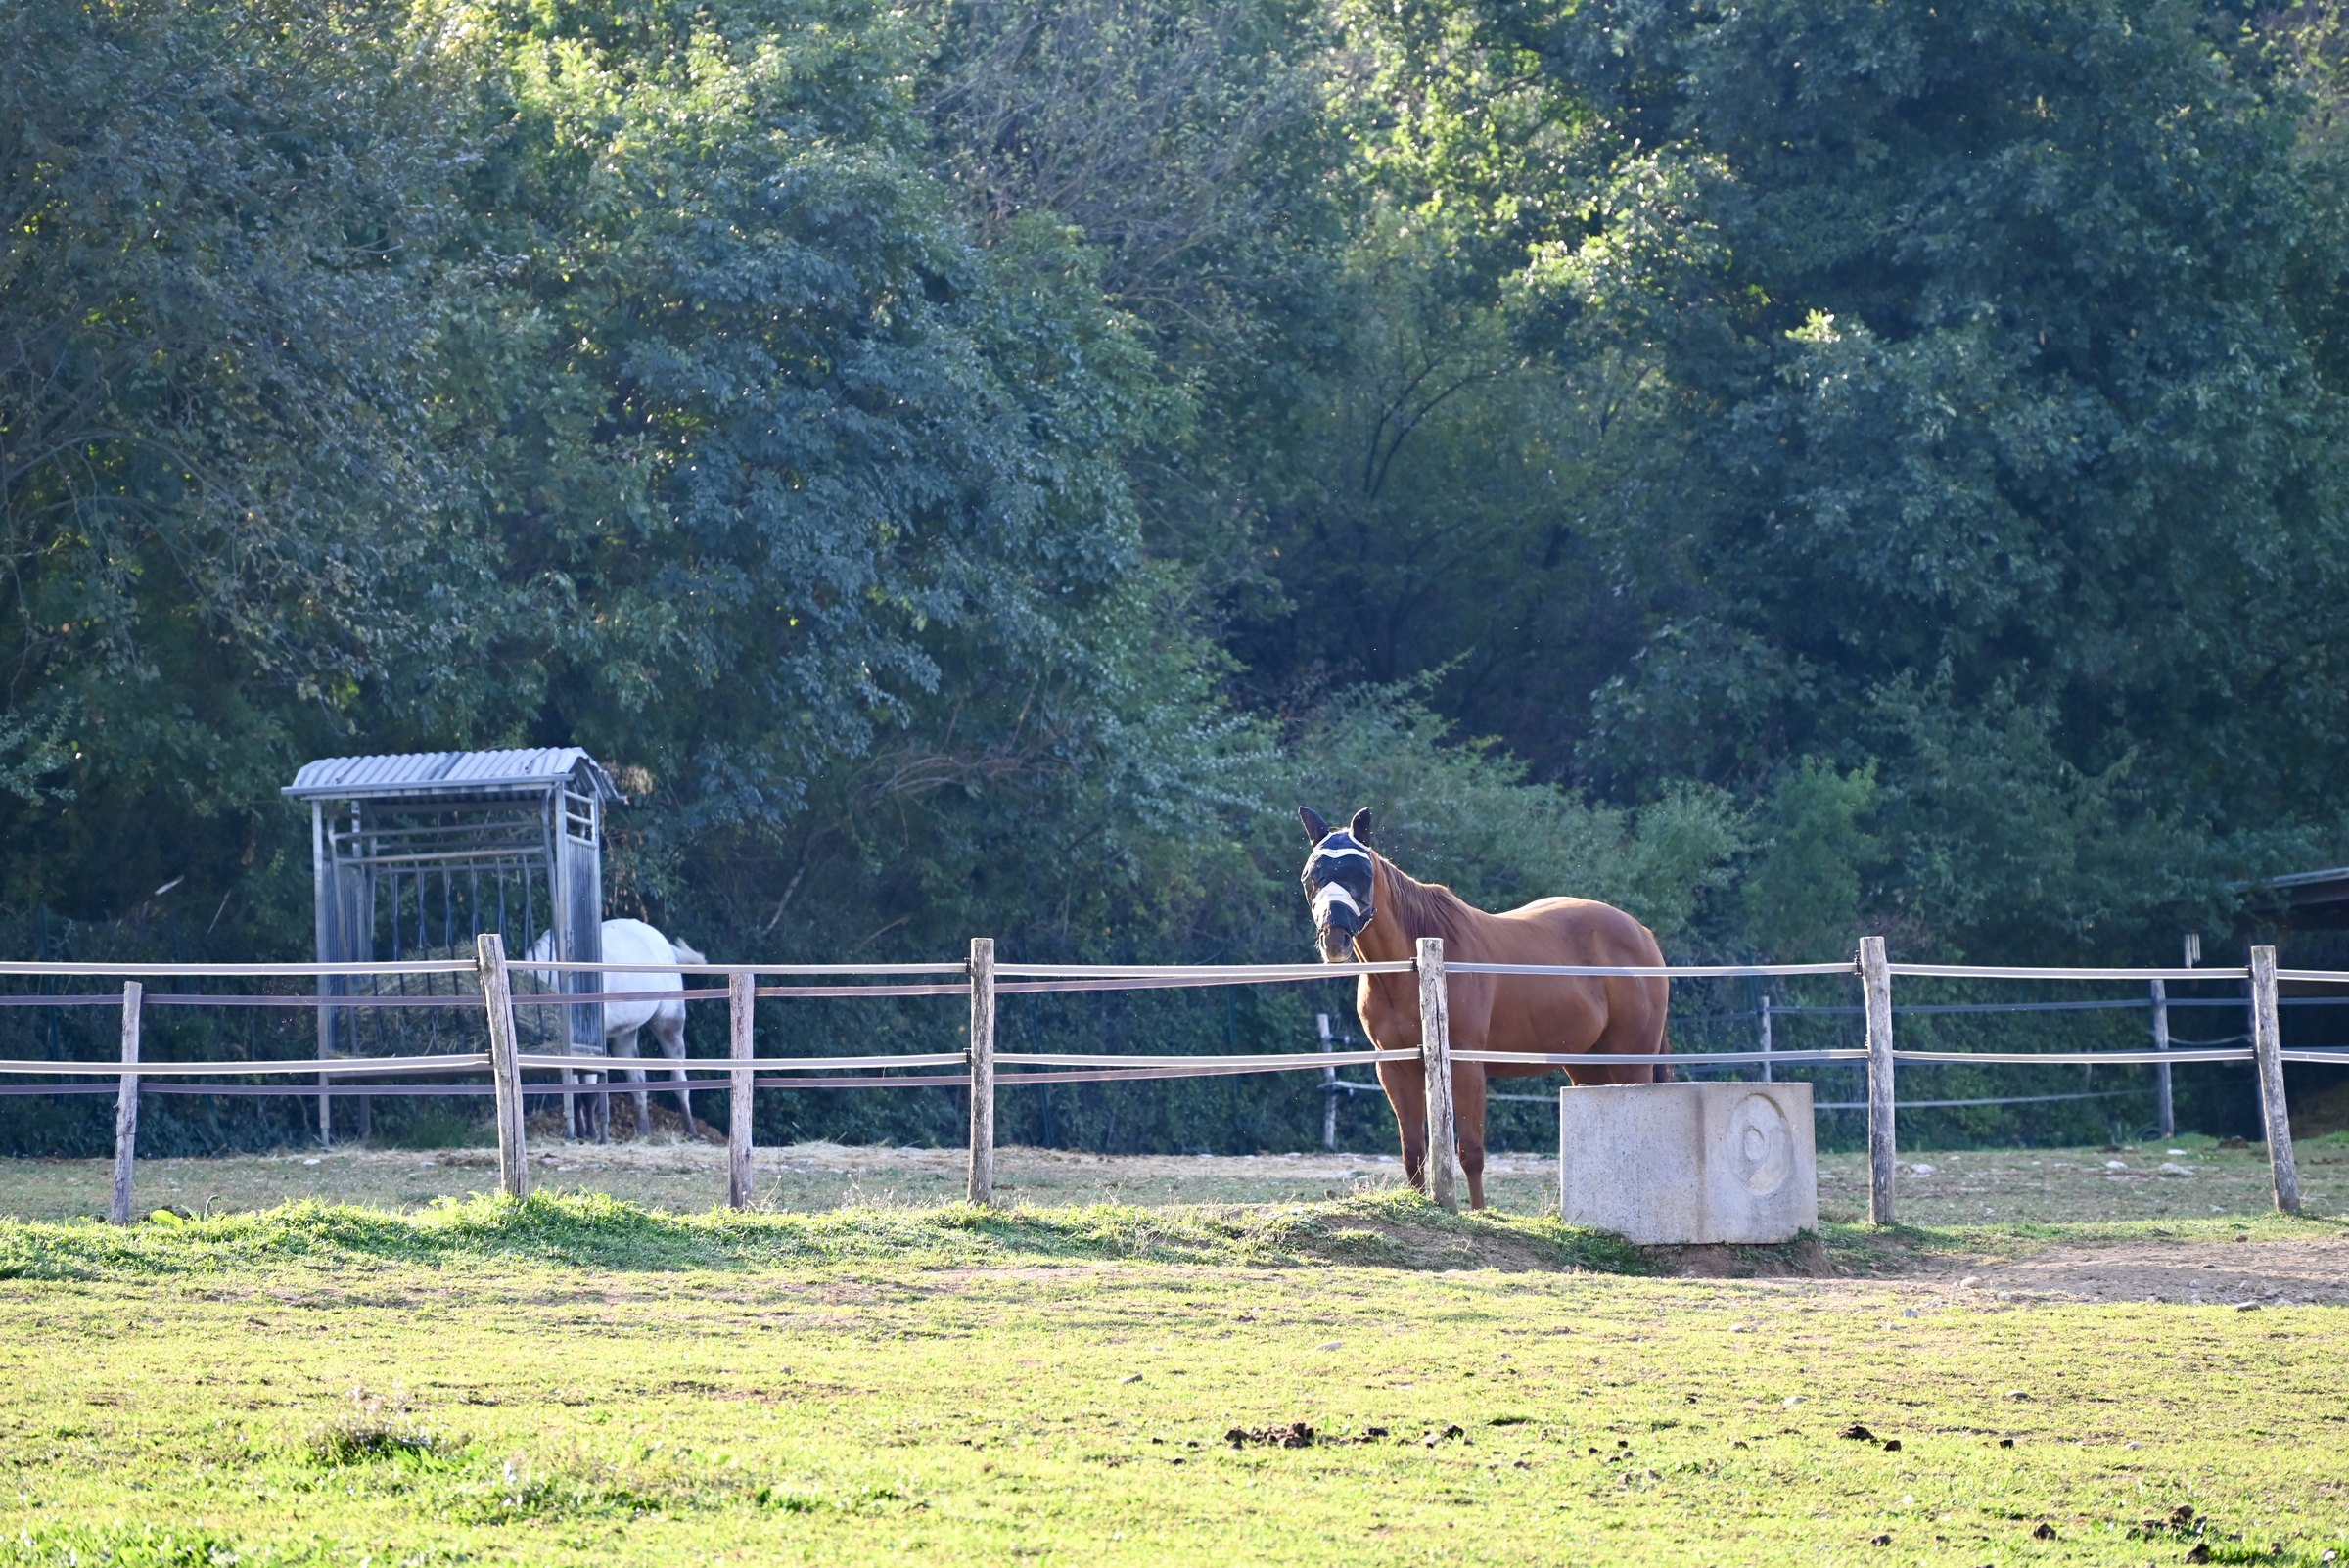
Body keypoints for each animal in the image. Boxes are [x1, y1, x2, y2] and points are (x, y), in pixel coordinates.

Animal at [527, 918, 707, 1141]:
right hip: (626, 1035)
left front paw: (591, 1134)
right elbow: (576, 1093)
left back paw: (692, 1131)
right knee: (638, 1079)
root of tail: (664, 943)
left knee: (679, 1080)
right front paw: (580, 1133)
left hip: (669, 1024)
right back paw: (644, 1132)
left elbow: (589, 1094)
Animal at [1298, 805, 1670, 1209]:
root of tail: (1643, 934)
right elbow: (1413, 1151)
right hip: (1587, 1064)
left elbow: (1471, 1153)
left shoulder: (1466, 1066)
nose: (1334, 938)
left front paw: (1479, 1212)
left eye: (1361, 874)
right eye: (1311, 877)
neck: (1415, 967)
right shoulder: (1395, 1068)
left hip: (1631, 1060)